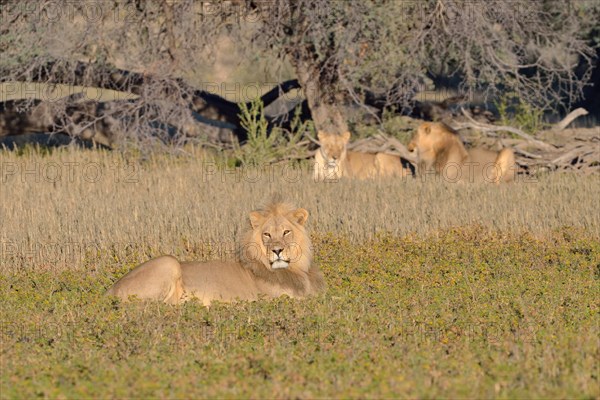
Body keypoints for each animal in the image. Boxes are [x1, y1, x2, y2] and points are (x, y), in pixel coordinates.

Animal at [105, 202, 326, 304]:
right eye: (267, 234)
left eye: (286, 232)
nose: (277, 250)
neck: (296, 271)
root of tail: (110, 290)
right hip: (168, 262)